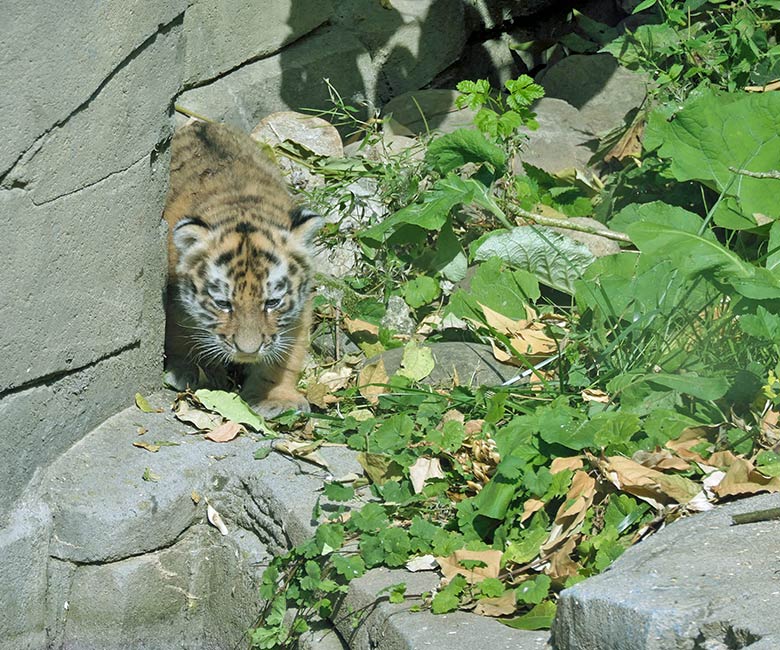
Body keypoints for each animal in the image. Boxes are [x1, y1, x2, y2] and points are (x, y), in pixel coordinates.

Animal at [163, 120, 320, 417]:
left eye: (272, 303)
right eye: (223, 304)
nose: (248, 351)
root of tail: (197, 123)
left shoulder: (300, 310)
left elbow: (285, 357)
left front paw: (275, 397)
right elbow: (180, 330)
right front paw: (190, 369)